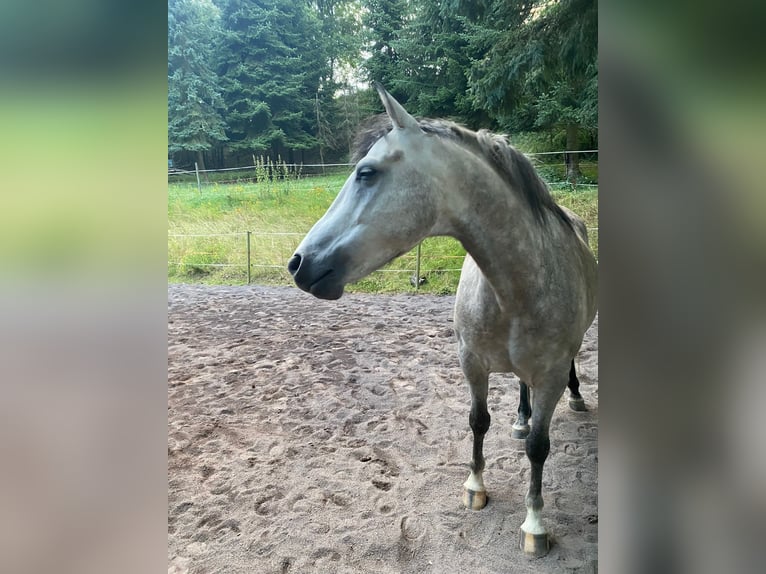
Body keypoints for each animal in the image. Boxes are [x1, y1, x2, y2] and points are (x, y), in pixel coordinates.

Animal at [288, 85, 598, 556]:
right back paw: (520, 420)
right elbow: (478, 422)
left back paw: (575, 400)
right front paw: (475, 486)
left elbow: (540, 449)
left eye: (366, 173)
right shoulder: (471, 363)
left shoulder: (550, 375)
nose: (299, 263)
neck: (515, 286)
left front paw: (534, 524)